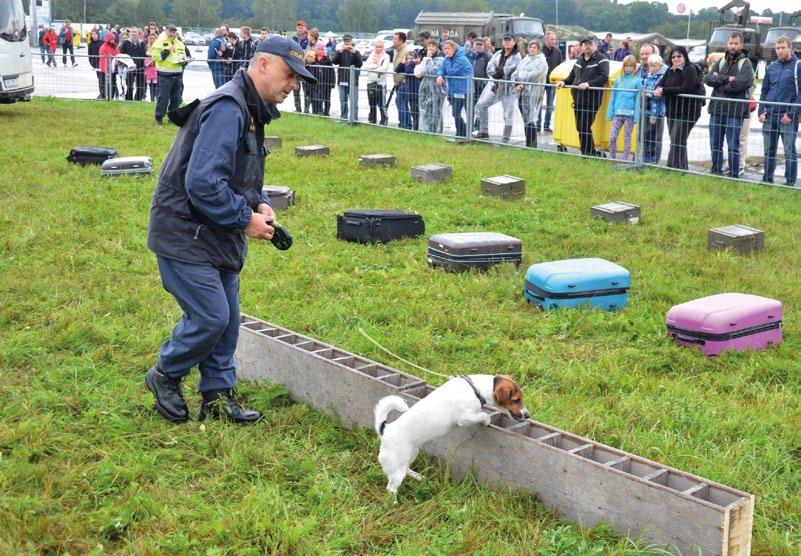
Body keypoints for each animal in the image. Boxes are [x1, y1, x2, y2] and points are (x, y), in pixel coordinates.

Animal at [374, 374, 528, 496]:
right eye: (516, 400)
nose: (528, 415)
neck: (475, 390)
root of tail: (385, 429)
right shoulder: (464, 418)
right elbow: (484, 415)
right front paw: (486, 421)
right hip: (397, 468)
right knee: (391, 488)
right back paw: (395, 503)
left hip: (410, 455)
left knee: (406, 469)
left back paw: (420, 478)